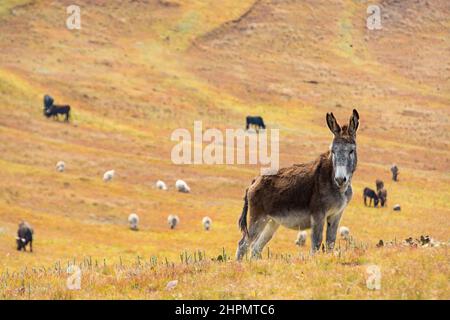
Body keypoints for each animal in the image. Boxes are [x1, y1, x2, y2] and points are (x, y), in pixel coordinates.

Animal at [236, 110, 358, 260]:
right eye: (333, 151)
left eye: (351, 151)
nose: (340, 179)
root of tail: (255, 180)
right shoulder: (318, 215)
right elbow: (316, 244)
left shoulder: (336, 215)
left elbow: (330, 244)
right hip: (258, 218)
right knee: (243, 245)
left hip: (272, 222)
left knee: (255, 249)